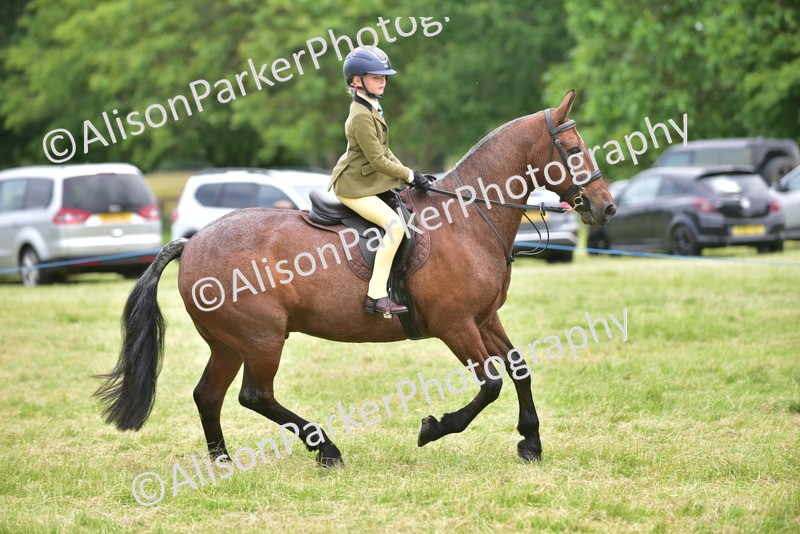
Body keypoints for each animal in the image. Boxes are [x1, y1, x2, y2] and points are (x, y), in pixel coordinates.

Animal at [95, 90, 615, 467]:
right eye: (573, 149)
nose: (606, 208)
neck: (468, 216)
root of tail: (192, 242)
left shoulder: (484, 318)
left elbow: (519, 368)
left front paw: (530, 444)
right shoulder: (455, 325)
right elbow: (490, 385)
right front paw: (433, 429)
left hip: (229, 343)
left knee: (209, 394)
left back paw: (222, 462)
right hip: (262, 338)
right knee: (254, 395)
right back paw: (325, 449)